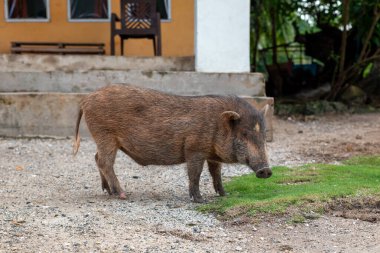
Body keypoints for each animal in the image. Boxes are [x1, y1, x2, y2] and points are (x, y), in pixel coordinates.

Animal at [73, 84, 270, 203]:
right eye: (244, 134)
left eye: (264, 134)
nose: (266, 171)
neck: (216, 125)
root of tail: (85, 99)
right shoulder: (194, 149)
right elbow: (195, 174)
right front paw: (200, 200)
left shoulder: (212, 155)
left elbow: (216, 174)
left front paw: (225, 195)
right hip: (105, 135)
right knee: (104, 162)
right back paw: (122, 194)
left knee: (96, 157)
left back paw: (107, 191)